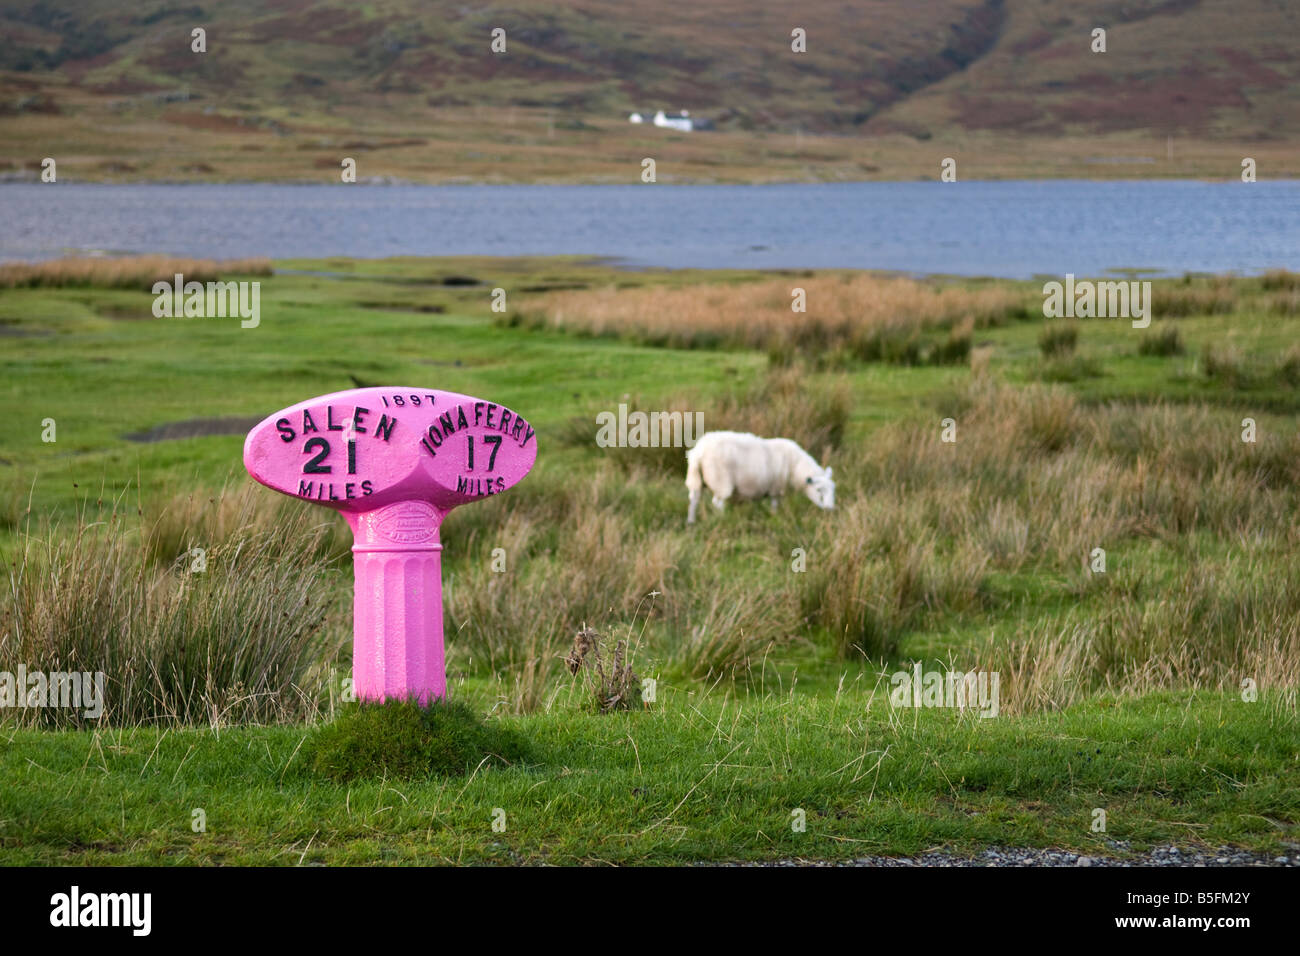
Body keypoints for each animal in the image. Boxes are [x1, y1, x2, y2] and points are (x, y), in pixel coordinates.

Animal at [686, 434, 837, 522]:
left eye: (833, 490)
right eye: (818, 490)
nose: (830, 509)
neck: (795, 466)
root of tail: (698, 452)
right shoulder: (776, 487)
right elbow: (775, 504)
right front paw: (775, 516)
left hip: (696, 479)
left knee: (694, 500)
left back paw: (691, 521)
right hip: (720, 480)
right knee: (717, 503)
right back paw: (723, 519)